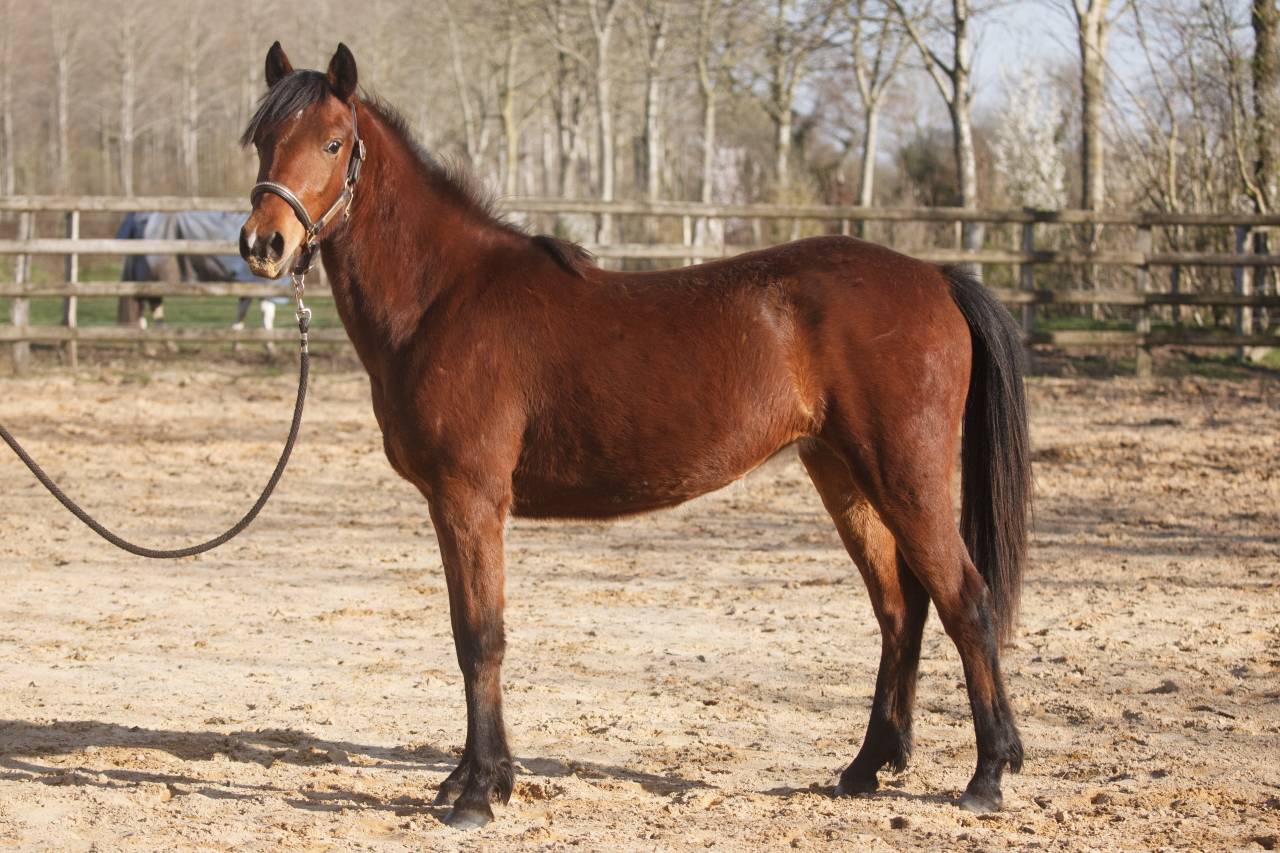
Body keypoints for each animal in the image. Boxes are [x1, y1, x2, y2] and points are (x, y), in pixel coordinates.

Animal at [239, 43, 1031, 830]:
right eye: (262, 140)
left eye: (333, 143)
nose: (263, 244)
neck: (445, 296)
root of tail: (935, 277)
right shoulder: (450, 504)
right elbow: (469, 633)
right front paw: (469, 776)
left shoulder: (470, 499)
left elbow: (481, 637)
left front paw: (478, 792)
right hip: (845, 476)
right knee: (900, 610)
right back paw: (866, 767)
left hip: (905, 476)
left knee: (967, 600)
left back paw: (987, 775)